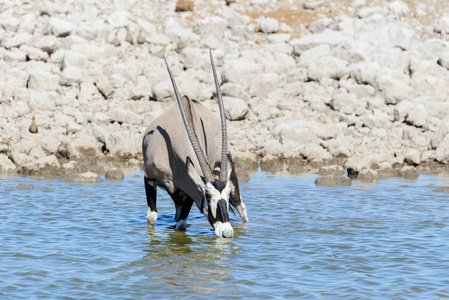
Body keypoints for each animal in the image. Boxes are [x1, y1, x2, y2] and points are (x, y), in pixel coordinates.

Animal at [142, 51, 248, 238]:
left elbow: (181, 224)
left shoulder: (188, 193)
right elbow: (152, 218)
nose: (227, 232)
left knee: (242, 209)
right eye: (208, 196)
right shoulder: (149, 177)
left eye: (226, 195)